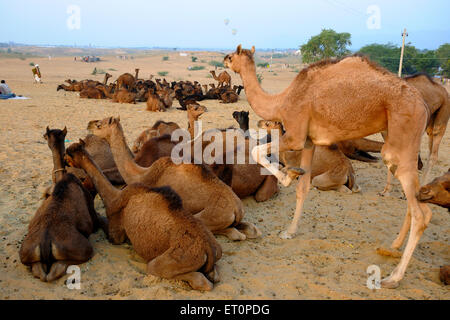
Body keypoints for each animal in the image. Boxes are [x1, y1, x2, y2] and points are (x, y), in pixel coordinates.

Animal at [19, 127, 104, 282]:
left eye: (46, 135)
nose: (43, 135)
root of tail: (45, 243)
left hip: (25, 253)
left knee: (39, 270)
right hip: (82, 248)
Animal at [64, 141, 222, 292]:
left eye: (69, 153)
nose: (65, 162)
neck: (114, 196)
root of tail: (209, 249)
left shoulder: (115, 232)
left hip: (178, 258)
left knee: (190, 277)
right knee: (214, 275)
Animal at [87, 117, 260, 240]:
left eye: (100, 125)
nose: (89, 125)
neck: (141, 173)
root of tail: (237, 209)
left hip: (210, 215)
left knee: (235, 234)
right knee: (252, 230)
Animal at [225, 44, 432, 288]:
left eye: (232, 55)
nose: (224, 60)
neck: (283, 100)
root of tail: (424, 105)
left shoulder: (295, 135)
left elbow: (258, 151)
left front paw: (287, 176)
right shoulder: (308, 141)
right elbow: (303, 188)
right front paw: (289, 232)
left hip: (402, 137)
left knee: (421, 212)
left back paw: (393, 277)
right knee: (412, 200)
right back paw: (393, 246)